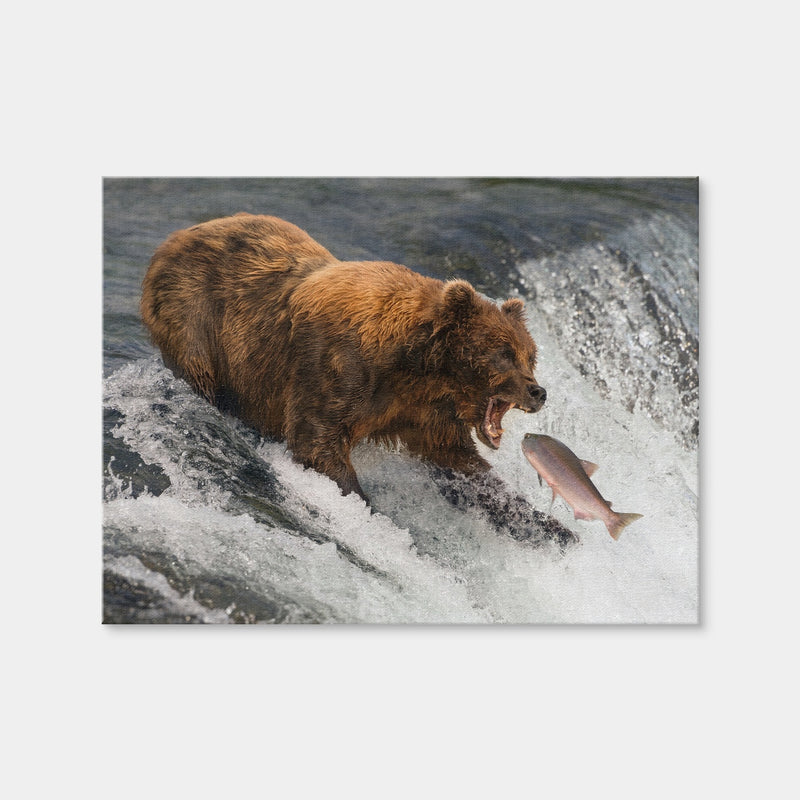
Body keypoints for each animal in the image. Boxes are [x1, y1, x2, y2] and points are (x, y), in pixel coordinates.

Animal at [141, 213, 574, 546]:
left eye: (530, 355)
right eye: (503, 353)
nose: (538, 391)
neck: (417, 367)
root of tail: (175, 237)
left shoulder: (423, 412)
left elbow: (460, 464)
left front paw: (552, 527)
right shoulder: (338, 369)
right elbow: (318, 440)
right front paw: (366, 509)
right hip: (196, 318)